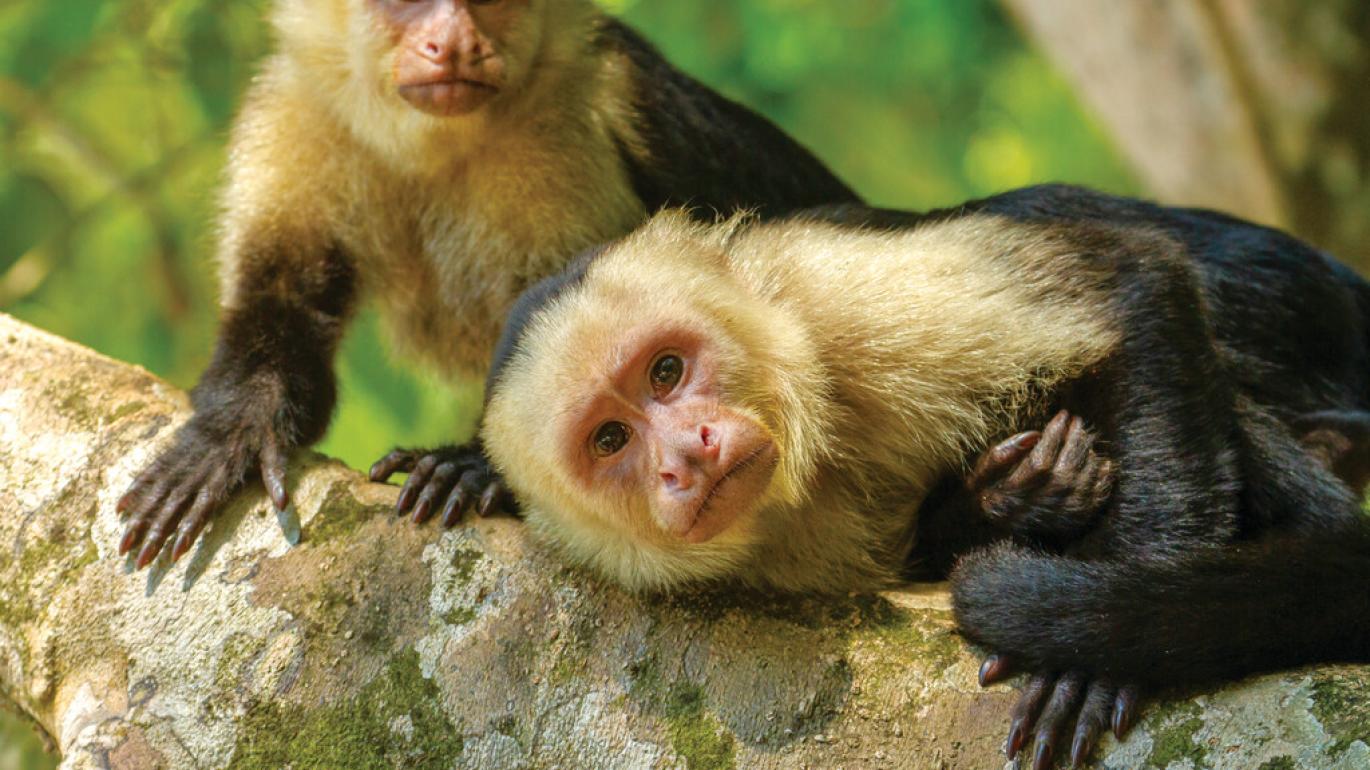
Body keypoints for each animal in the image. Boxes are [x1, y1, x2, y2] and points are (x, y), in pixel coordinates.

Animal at [474, 185, 1370, 768]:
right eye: (610, 439)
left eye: (666, 370)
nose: (685, 456)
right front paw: (1012, 499)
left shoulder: (836, 301)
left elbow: (1134, 281)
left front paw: (1104, 646)